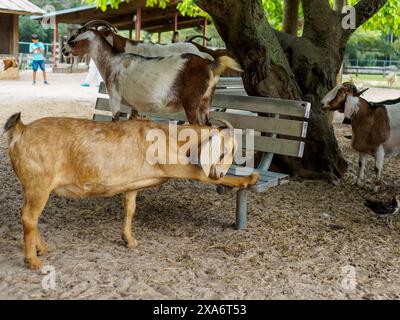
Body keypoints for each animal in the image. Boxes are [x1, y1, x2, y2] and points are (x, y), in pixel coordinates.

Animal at [62, 28, 241, 125]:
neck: (112, 60)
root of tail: (209, 63)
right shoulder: (133, 105)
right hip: (206, 102)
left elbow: (115, 122)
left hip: (192, 103)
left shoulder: (114, 97)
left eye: (74, 40)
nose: (64, 50)